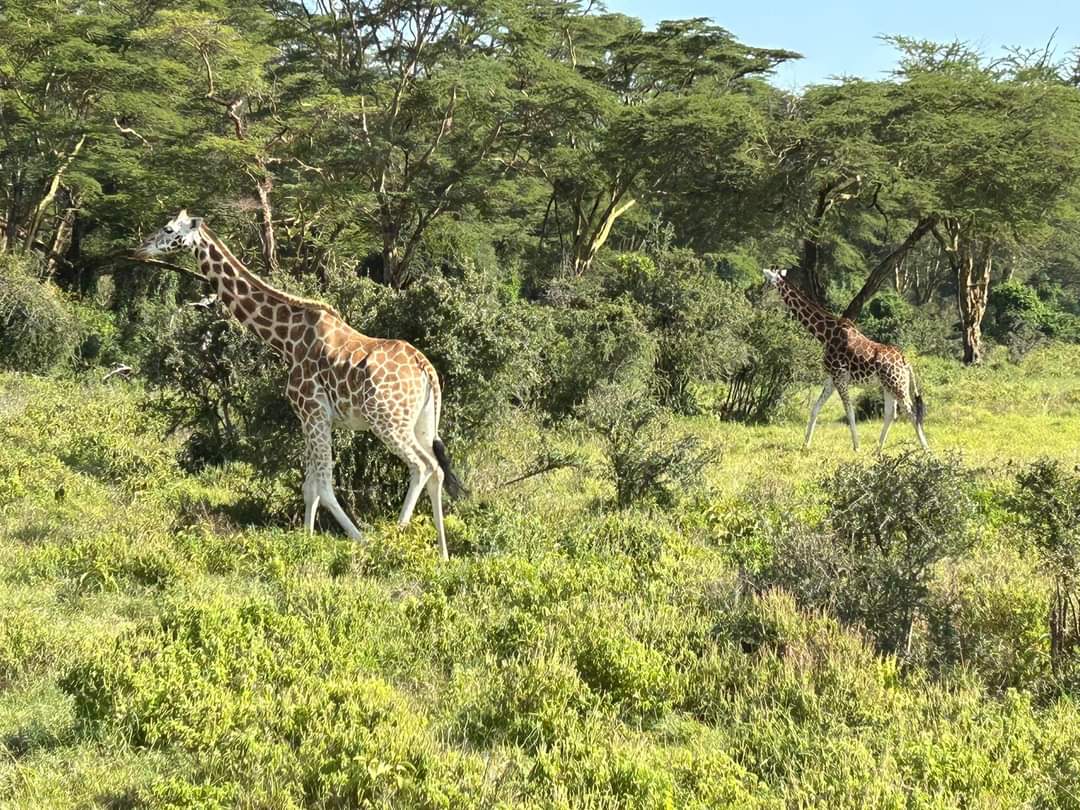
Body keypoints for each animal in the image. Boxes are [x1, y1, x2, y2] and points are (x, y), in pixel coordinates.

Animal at [135, 210, 464, 559]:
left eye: (168, 229)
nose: (141, 247)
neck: (286, 339)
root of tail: (426, 369)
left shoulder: (313, 411)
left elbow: (324, 486)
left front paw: (358, 539)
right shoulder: (310, 418)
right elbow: (310, 487)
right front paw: (306, 541)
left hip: (387, 421)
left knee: (421, 466)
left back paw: (393, 539)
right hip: (422, 423)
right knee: (436, 469)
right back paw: (443, 553)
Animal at [762, 267, 929, 452]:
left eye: (767, 281)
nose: (760, 293)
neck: (825, 335)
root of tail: (906, 362)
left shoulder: (840, 377)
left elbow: (849, 411)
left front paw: (856, 447)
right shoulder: (831, 378)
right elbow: (815, 408)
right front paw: (805, 444)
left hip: (897, 383)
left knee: (911, 412)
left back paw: (926, 449)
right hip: (888, 385)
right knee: (891, 413)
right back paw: (878, 450)